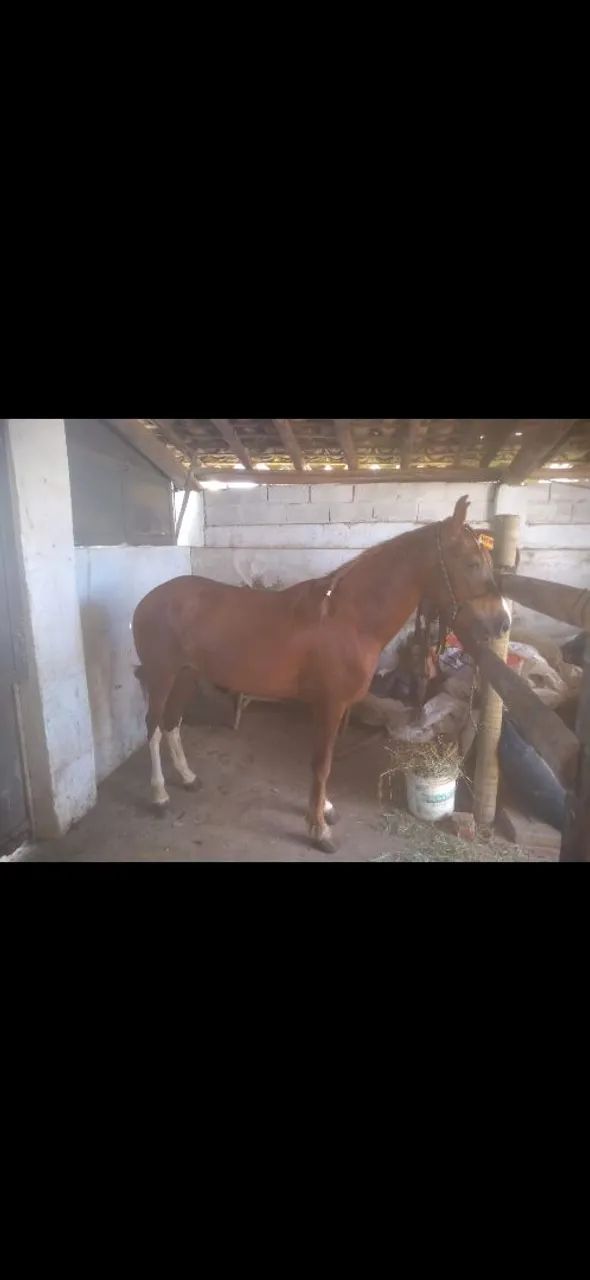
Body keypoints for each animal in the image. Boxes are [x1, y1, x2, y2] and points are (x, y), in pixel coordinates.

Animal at [132, 496, 510, 852]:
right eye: (472, 563)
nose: (502, 623)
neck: (349, 619)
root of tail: (148, 600)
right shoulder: (330, 704)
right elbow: (322, 764)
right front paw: (318, 830)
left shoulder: (333, 707)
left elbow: (323, 761)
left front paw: (324, 810)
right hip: (162, 676)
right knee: (153, 727)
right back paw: (159, 796)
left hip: (186, 676)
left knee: (172, 724)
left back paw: (187, 778)